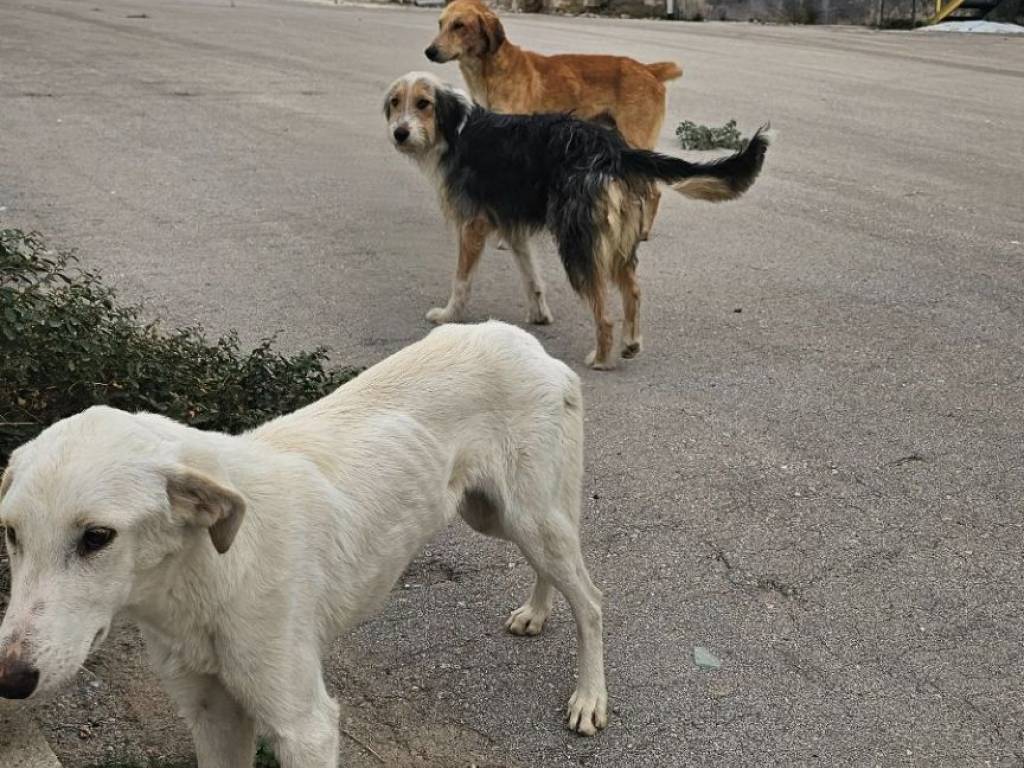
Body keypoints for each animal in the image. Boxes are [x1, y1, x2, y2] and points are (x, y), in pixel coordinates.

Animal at [0, 321, 608, 768]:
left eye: (97, 537)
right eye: (11, 534)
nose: (9, 679)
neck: (205, 578)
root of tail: (526, 343)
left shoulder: (305, 728)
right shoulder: (211, 716)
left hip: (532, 517)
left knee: (592, 601)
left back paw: (590, 698)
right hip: (492, 515)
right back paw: (536, 612)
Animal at [385, 71, 770, 370]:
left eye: (423, 103)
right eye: (395, 103)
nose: (399, 133)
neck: (455, 130)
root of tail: (615, 149)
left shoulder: (473, 226)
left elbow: (461, 281)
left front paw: (448, 315)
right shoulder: (513, 228)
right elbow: (532, 277)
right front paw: (539, 314)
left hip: (577, 243)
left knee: (605, 314)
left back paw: (601, 358)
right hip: (615, 240)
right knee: (633, 291)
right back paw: (631, 343)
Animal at [426, 0, 683, 238]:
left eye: (459, 25)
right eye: (440, 23)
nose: (429, 51)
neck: (489, 73)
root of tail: (648, 69)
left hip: (635, 139)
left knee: (654, 191)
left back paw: (643, 230)